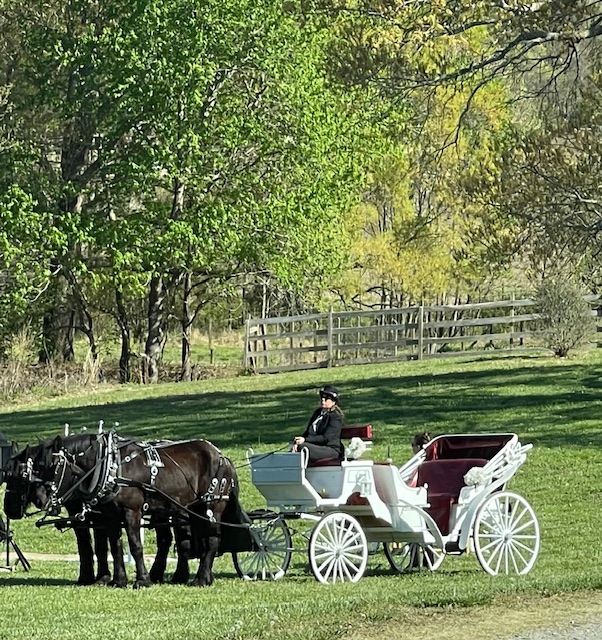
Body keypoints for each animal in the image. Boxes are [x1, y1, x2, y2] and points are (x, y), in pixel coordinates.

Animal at [28, 432, 246, 587]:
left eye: (53, 465)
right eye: (37, 466)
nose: (39, 499)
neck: (111, 466)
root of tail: (222, 457)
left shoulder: (131, 511)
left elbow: (135, 545)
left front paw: (142, 580)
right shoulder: (109, 516)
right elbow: (115, 547)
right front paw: (119, 580)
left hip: (211, 506)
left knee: (212, 539)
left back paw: (200, 579)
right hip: (191, 509)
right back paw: (198, 577)